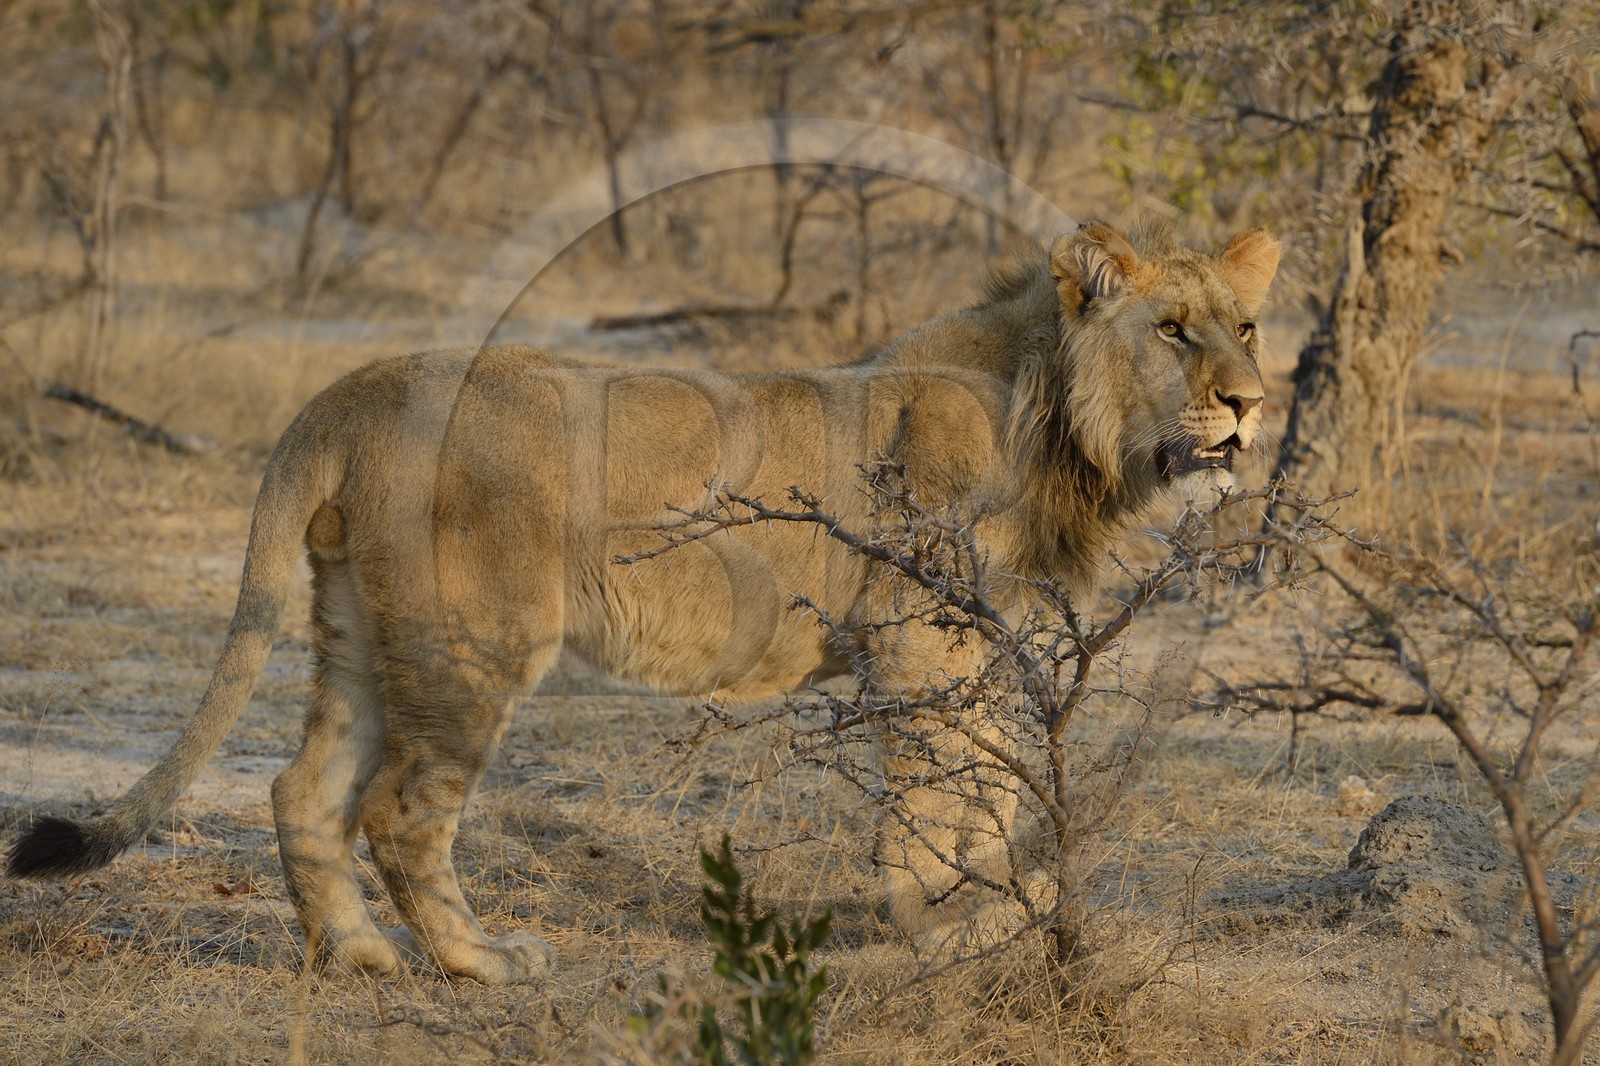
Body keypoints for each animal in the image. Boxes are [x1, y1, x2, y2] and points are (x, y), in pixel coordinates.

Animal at [7, 221, 1278, 983]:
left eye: (1247, 326)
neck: (1058, 425)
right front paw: (950, 920)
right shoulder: (915, 636)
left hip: (362, 630)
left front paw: (991, 906)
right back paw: (481, 964)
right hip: (472, 643)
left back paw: (357, 957)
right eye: (1172, 330)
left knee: (300, 786)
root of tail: (355, 384)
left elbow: (985, 784)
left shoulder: (968, 640)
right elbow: (940, 792)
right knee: (399, 809)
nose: (1250, 403)